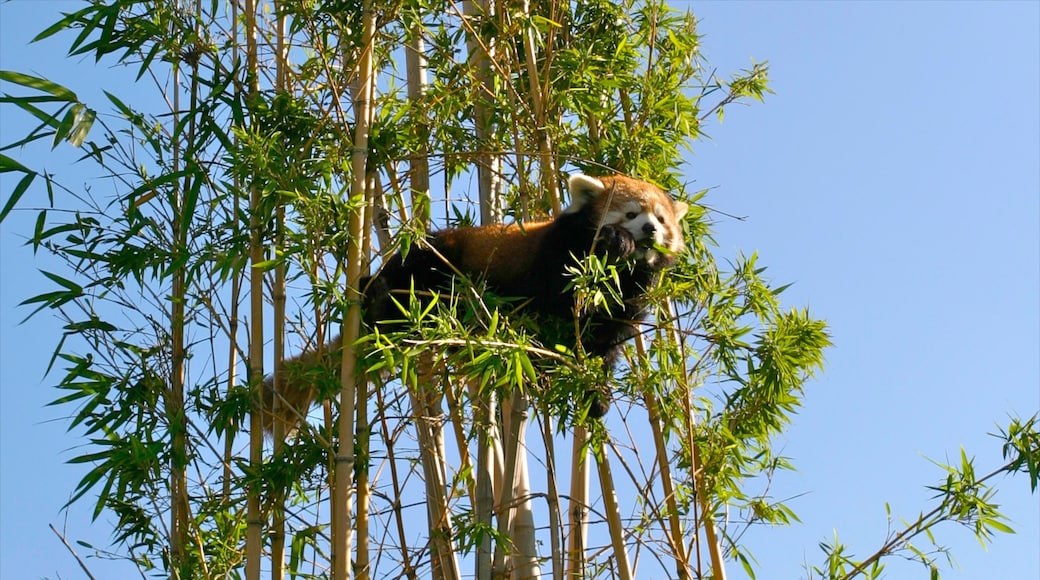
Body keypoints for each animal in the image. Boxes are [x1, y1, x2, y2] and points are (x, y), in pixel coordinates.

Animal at [262, 174, 682, 434]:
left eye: (661, 219)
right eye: (631, 213)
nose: (650, 229)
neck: (618, 275)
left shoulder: (629, 302)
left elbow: (603, 347)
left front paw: (595, 394)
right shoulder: (558, 255)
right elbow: (554, 306)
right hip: (433, 258)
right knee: (410, 272)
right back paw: (379, 294)